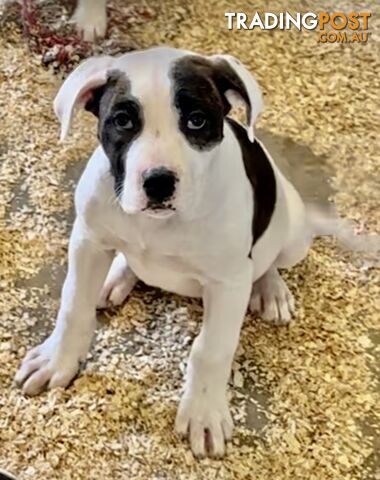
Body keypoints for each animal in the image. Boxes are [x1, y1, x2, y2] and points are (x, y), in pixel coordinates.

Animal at [14, 47, 366, 460]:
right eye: (123, 120)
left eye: (197, 121)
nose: (158, 182)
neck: (161, 224)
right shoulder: (87, 240)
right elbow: (73, 307)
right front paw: (57, 360)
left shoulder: (229, 283)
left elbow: (210, 349)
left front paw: (204, 413)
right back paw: (115, 277)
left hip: (293, 235)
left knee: (269, 262)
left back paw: (272, 291)